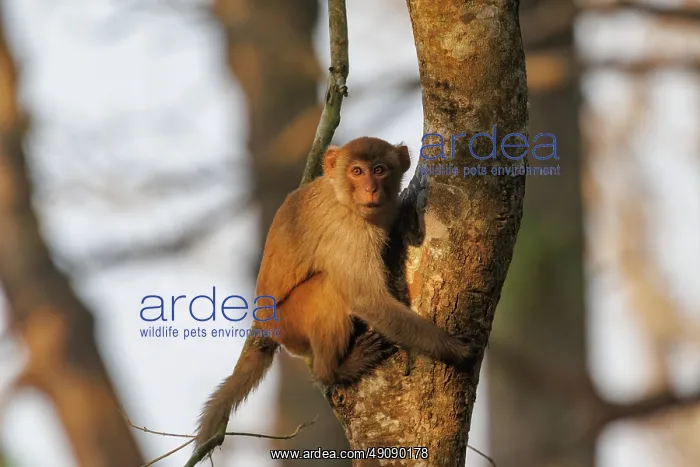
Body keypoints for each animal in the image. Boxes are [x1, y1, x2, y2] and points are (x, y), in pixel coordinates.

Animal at [193, 137, 479, 452]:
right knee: (328, 288)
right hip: (291, 323)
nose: (371, 188)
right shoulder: (348, 230)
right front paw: (453, 348)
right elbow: (365, 299)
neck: (345, 198)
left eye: (379, 170)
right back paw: (333, 371)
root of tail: (264, 325)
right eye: (357, 171)